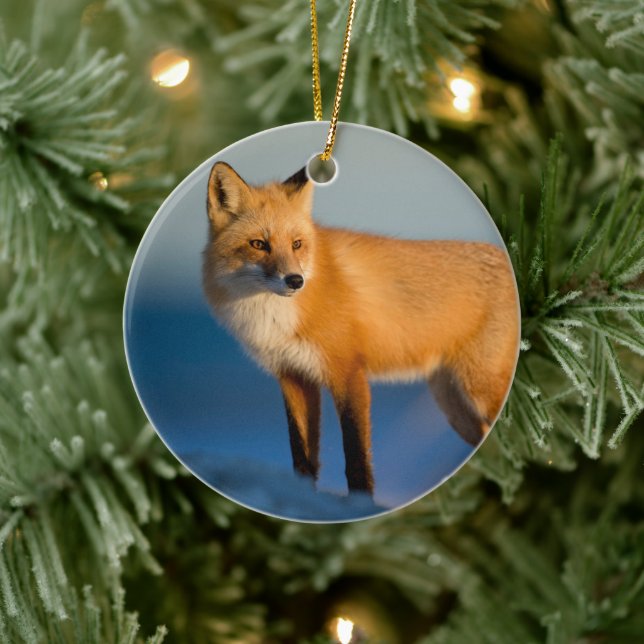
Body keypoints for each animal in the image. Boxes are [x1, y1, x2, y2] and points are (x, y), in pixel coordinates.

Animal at [202, 161, 519, 495]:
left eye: (296, 244)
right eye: (258, 244)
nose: (295, 281)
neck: (276, 318)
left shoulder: (348, 372)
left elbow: (356, 456)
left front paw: (361, 501)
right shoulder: (294, 376)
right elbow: (302, 454)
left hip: (479, 390)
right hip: (455, 406)